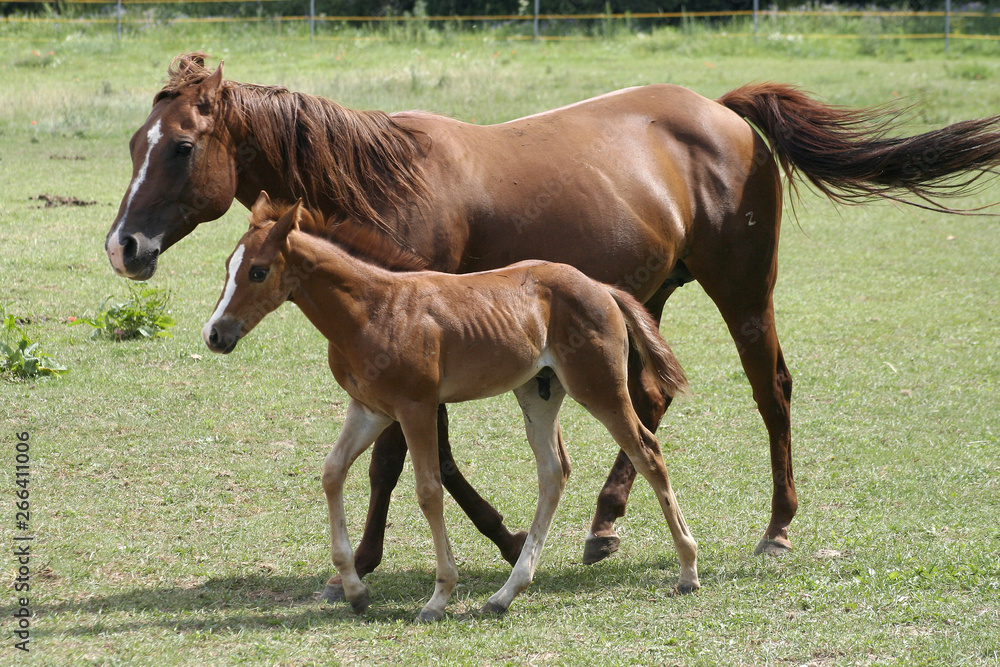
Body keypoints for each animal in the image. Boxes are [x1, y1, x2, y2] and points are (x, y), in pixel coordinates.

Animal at [202, 192, 697, 620]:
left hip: (599, 387)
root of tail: (599, 286)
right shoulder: (368, 409)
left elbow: (428, 490)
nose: (215, 334)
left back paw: (688, 569)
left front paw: (438, 597)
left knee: (646, 452)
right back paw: (505, 594)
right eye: (228, 266)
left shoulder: (415, 407)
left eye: (258, 271)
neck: (374, 308)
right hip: (538, 393)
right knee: (553, 473)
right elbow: (332, 472)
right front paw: (354, 589)